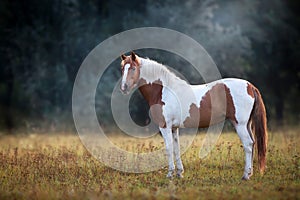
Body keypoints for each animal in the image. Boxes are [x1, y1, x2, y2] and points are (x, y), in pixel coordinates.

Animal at [119, 51, 268, 180]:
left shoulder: (165, 126)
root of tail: (250, 86)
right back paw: (250, 173)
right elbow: (176, 148)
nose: (124, 88)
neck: (163, 90)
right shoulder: (174, 128)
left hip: (240, 124)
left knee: (248, 144)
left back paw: (245, 176)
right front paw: (179, 173)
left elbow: (168, 149)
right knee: (253, 143)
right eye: (122, 69)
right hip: (247, 124)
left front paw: (170, 174)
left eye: (133, 68)